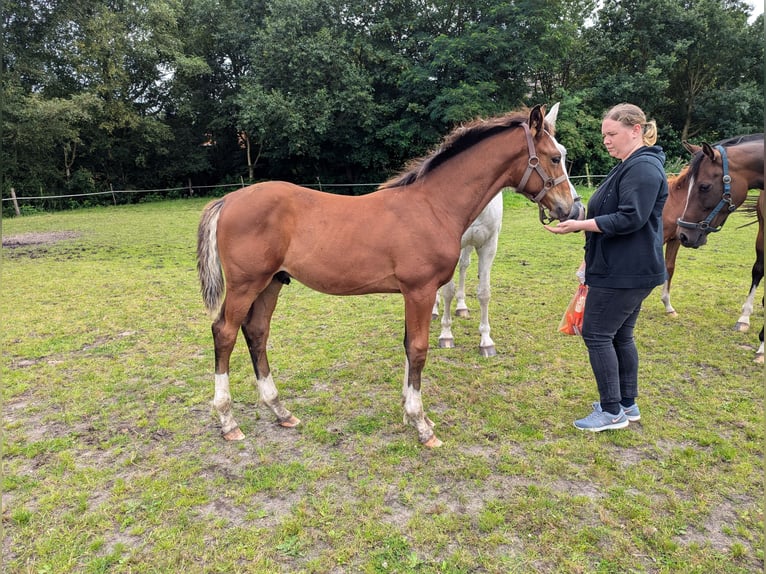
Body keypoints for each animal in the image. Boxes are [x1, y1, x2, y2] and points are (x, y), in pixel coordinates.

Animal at [198, 107, 584, 450]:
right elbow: (418, 348)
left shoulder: (414, 293)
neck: (433, 205)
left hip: (272, 282)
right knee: (225, 332)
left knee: (256, 332)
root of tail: (228, 199)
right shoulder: (420, 290)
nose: (573, 208)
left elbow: (408, 345)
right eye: (554, 157)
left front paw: (410, 415)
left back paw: (280, 411)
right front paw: (422, 425)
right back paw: (228, 421)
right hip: (247, 284)